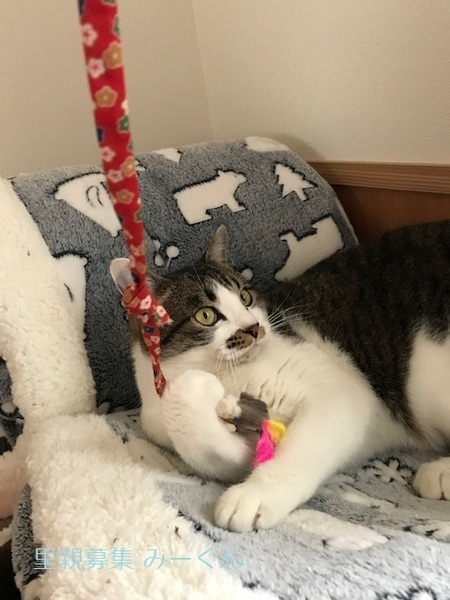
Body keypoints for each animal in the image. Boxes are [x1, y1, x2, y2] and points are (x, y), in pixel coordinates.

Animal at [111, 220, 450, 533]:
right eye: (206, 315)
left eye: (245, 297)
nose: (253, 328)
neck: (226, 374)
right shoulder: (161, 419)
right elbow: (209, 446)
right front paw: (203, 396)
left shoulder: (340, 392)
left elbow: (300, 447)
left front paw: (254, 495)